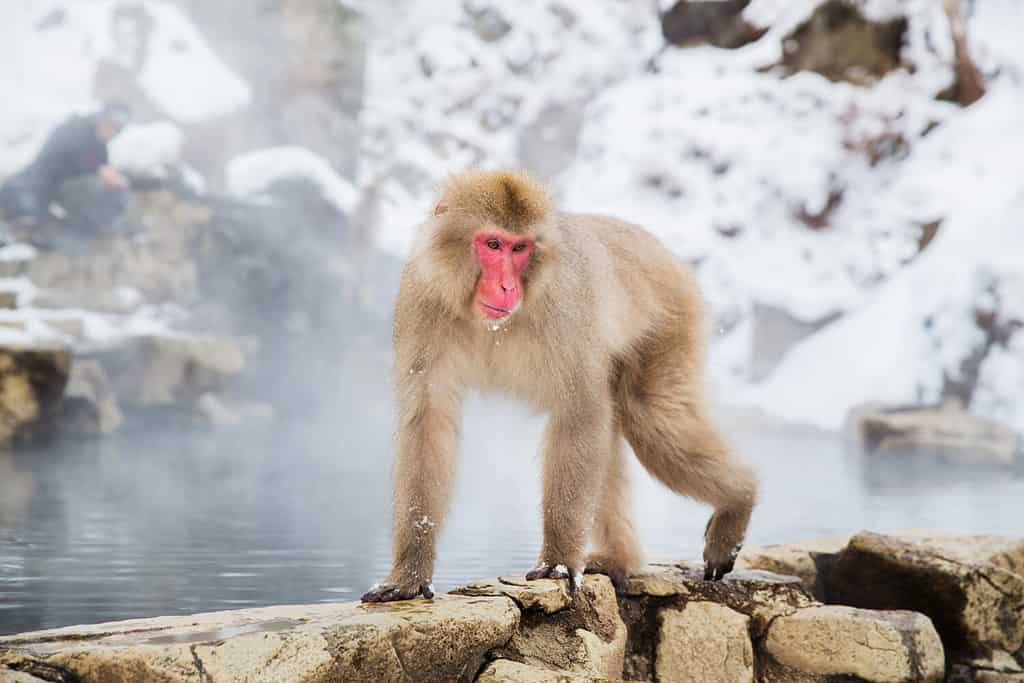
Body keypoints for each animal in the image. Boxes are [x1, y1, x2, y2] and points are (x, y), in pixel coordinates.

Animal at [358, 171, 753, 602]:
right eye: (493, 244)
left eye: (520, 248)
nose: (507, 288)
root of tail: (661, 250)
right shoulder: (424, 300)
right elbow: (428, 422)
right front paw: (409, 575)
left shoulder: (565, 306)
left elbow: (579, 413)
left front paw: (559, 562)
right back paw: (620, 558)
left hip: (672, 320)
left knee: (649, 419)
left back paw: (740, 500)